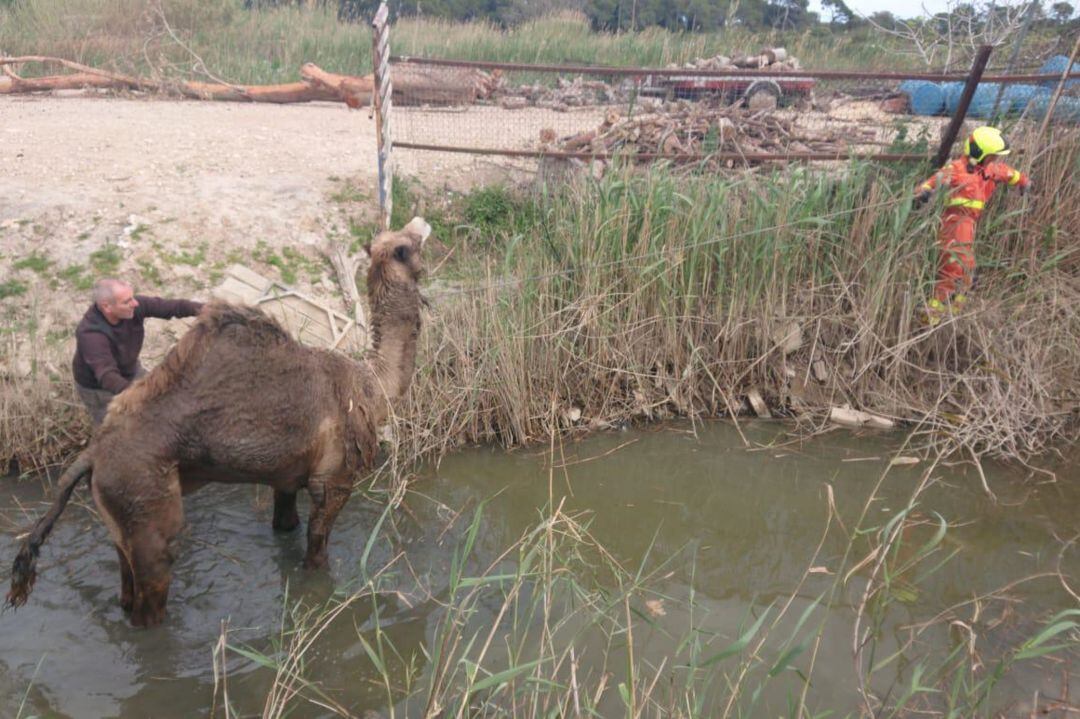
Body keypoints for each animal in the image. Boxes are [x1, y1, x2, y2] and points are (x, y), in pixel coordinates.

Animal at [9, 215, 429, 626]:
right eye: (407, 244)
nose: (420, 222)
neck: (371, 385)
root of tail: (91, 456)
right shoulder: (335, 479)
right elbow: (317, 550)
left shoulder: (286, 474)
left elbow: (285, 525)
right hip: (143, 497)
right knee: (153, 583)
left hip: (118, 512)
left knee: (125, 578)